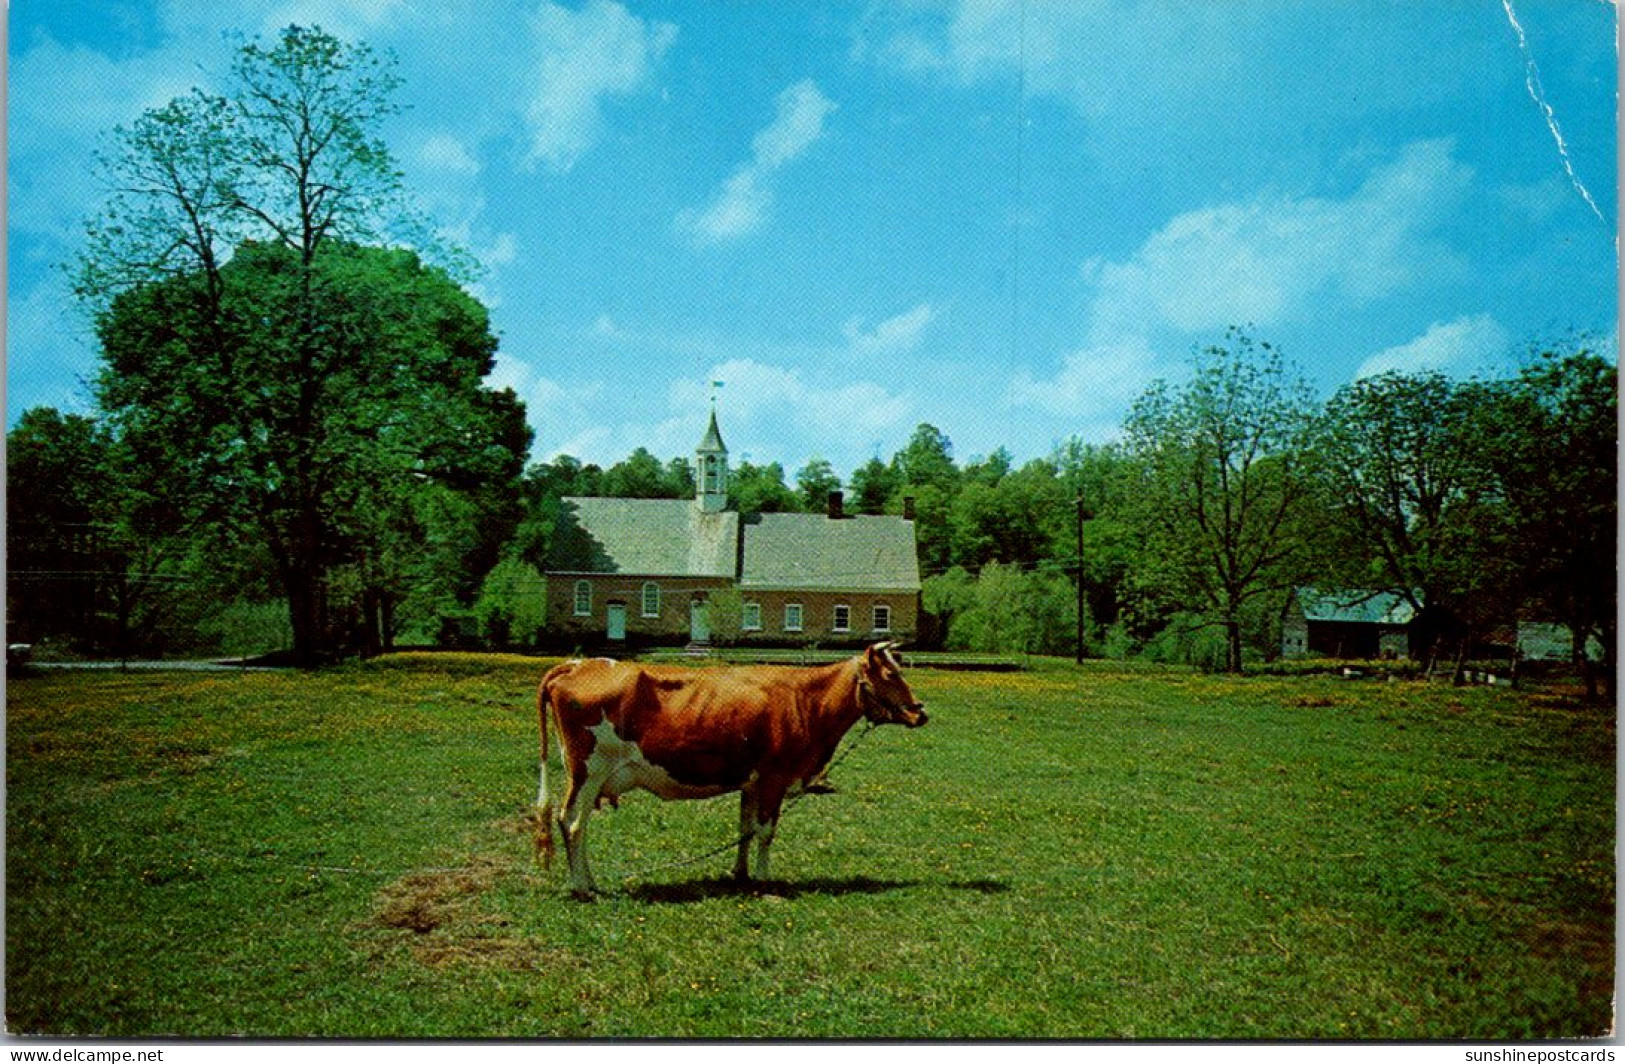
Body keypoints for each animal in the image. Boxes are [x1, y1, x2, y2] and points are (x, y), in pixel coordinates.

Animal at [536, 640, 929, 896]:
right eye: (889, 674)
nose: (920, 712)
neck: (805, 700)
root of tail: (577, 664)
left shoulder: (751, 782)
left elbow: (746, 829)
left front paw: (740, 874)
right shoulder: (774, 777)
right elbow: (766, 831)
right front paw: (765, 880)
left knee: (577, 824)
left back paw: (589, 881)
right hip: (588, 770)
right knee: (572, 823)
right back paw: (582, 888)